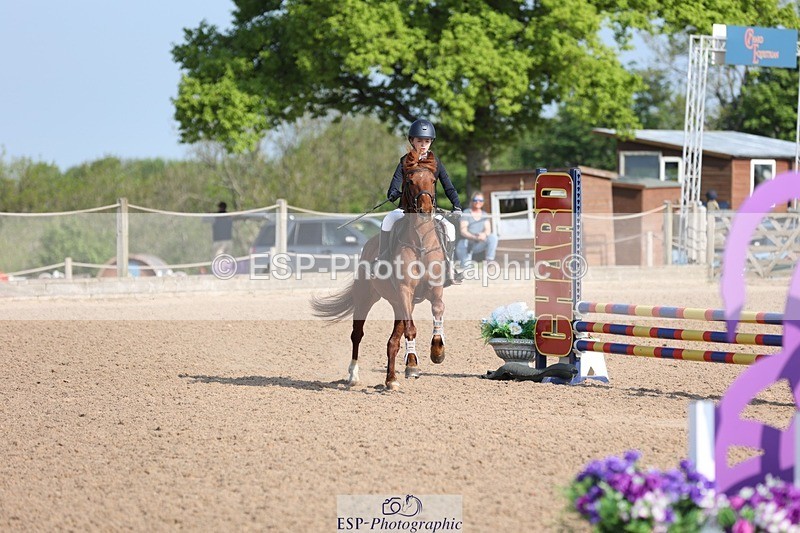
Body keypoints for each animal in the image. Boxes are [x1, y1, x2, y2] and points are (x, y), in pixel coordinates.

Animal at [311, 149, 449, 391]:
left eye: (433, 181)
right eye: (410, 181)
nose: (425, 211)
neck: (420, 242)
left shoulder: (434, 288)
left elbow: (438, 311)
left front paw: (437, 352)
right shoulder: (405, 291)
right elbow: (411, 329)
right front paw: (414, 366)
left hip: (398, 304)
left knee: (393, 341)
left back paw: (391, 379)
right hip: (366, 297)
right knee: (357, 334)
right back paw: (354, 375)